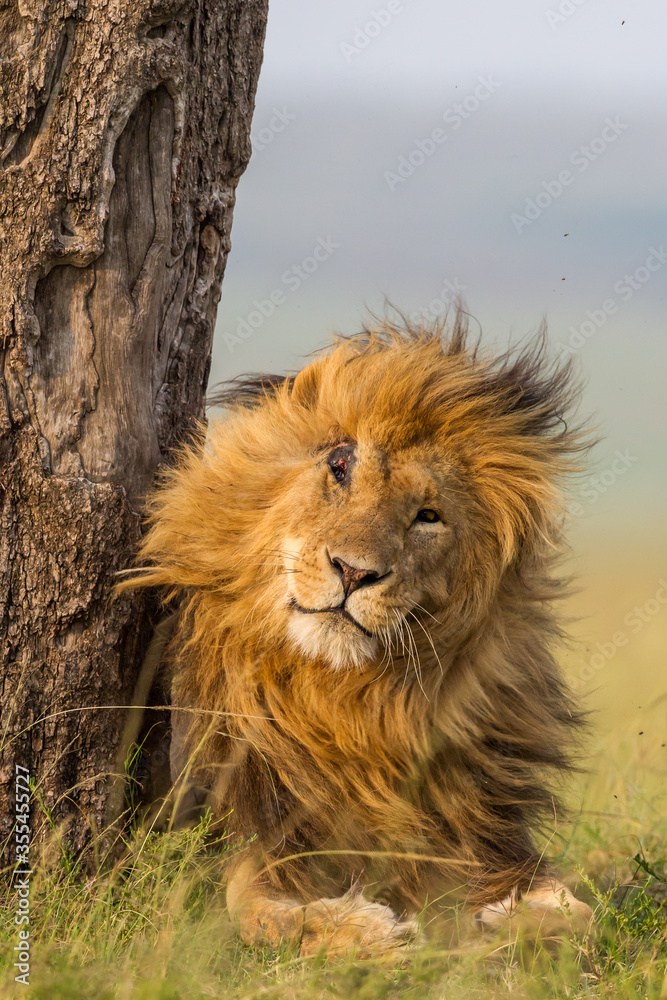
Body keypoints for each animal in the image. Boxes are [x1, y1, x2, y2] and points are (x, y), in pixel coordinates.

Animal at [124, 313, 593, 958]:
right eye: (340, 467)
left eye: (428, 516)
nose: (354, 571)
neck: (342, 708)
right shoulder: (238, 829)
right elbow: (262, 915)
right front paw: (365, 930)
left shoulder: (483, 833)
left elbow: (580, 920)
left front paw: (509, 924)